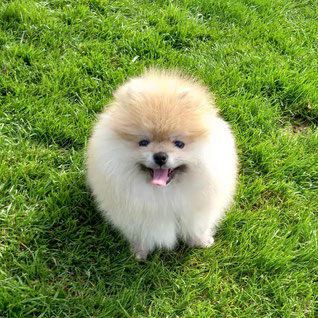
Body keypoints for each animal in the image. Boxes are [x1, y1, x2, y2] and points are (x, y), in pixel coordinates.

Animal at [85, 69, 237, 258]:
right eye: (143, 142)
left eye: (179, 144)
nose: (160, 156)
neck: (165, 193)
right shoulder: (138, 216)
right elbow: (143, 233)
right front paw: (139, 252)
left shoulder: (197, 211)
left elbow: (197, 227)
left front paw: (201, 241)